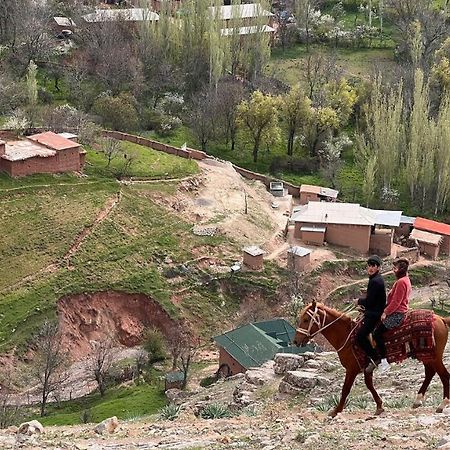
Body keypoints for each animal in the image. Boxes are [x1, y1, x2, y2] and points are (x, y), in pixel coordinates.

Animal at [292, 300, 450, 416]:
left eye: (306, 319)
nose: (296, 341)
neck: (347, 335)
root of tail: (441, 319)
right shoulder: (367, 367)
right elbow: (369, 385)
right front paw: (379, 406)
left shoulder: (351, 369)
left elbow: (345, 389)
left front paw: (336, 410)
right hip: (425, 355)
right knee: (430, 373)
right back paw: (418, 401)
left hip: (434, 357)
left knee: (444, 375)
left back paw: (442, 404)